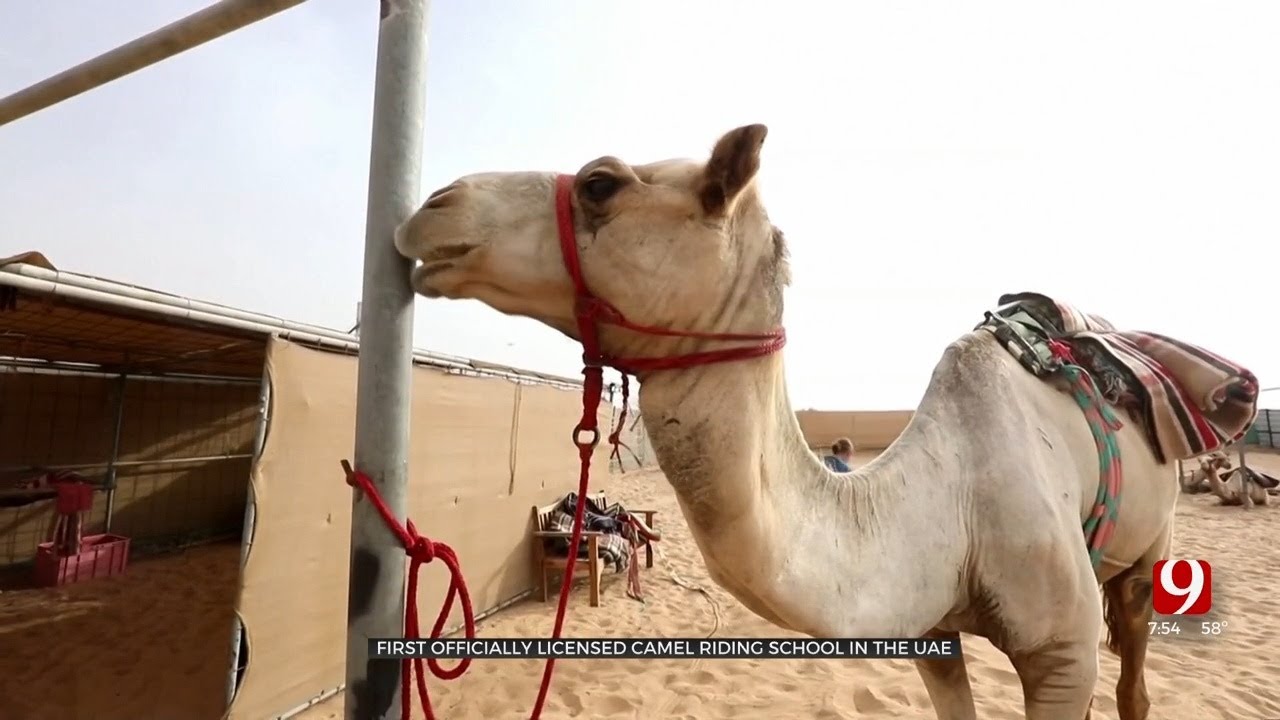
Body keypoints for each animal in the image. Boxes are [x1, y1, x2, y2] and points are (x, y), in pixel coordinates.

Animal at [394, 124, 1195, 720]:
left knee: (1135, 664)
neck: (949, 508)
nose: (434, 205)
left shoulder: (1061, 654)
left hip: (1147, 546)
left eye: (600, 182)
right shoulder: (927, 632)